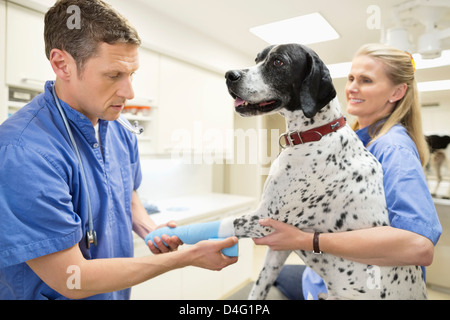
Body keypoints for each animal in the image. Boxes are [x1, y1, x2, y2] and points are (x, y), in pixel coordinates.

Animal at [223, 43, 428, 300]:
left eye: (279, 62)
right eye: (257, 59)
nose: (229, 75)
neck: (315, 133)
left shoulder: (266, 219)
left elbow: (223, 223)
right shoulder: (278, 248)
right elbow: (260, 286)